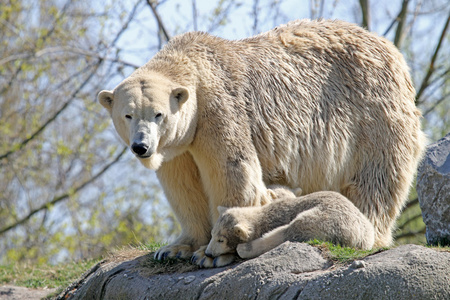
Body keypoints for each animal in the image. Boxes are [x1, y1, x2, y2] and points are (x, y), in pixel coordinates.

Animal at [206, 192, 374, 260]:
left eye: (221, 240)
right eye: (212, 235)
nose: (207, 253)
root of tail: (359, 236)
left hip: (327, 218)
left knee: (291, 229)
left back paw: (245, 249)